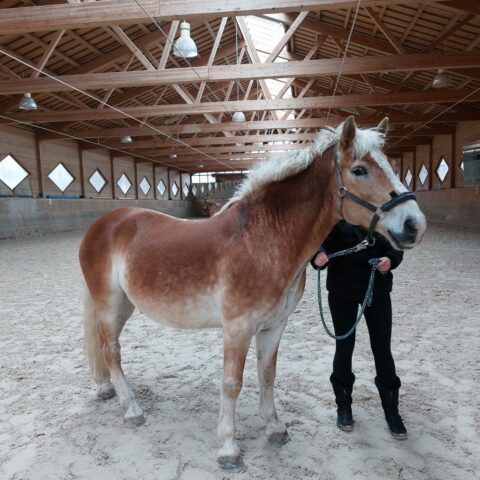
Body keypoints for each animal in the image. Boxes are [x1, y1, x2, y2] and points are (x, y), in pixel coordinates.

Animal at [79, 116, 428, 468]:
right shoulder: (238, 327)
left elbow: (267, 374)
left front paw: (274, 429)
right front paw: (228, 447)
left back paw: (106, 389)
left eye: (391, 165)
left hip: (125, 305)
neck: (262, 241)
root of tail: (104, 223)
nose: (414, 224)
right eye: (359, 170)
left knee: (107, 347)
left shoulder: (274, 326)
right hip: (108, 303)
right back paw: (132, 410)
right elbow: (232, 383)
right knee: (111, 351)